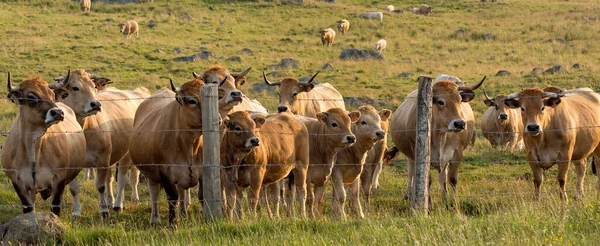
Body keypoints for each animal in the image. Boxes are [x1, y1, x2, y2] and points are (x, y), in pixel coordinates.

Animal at [1, 70, 85, 215]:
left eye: (52, 95)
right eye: (31, 97)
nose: (58, 112)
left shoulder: (59, 179)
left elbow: (55, 209)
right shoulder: (18, 182)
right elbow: (28, 210)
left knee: (75, 189)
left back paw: (77, 211)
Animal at [52, 69, 150, 215]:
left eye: (93, 86)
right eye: (75, 88)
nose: (96, 104)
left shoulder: (102, 161)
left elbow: (100, 186)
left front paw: (103, 210)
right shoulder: (72, 164)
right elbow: (74, 188)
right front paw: (76, 211)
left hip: (126, 155)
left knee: (123, 179)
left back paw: (119, 204)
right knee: (111, 179)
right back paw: (110, 201)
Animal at [129, 76, 209, 228]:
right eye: (192, 101)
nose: (218, 119)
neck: (189, 146)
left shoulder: (203, 171)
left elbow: (202, 195)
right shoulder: (164, 173)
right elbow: (172, 198)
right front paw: (172, 223)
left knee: (182, 191)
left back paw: (183, 213)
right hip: (151, 172)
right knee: (154, 192)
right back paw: (155, 217)